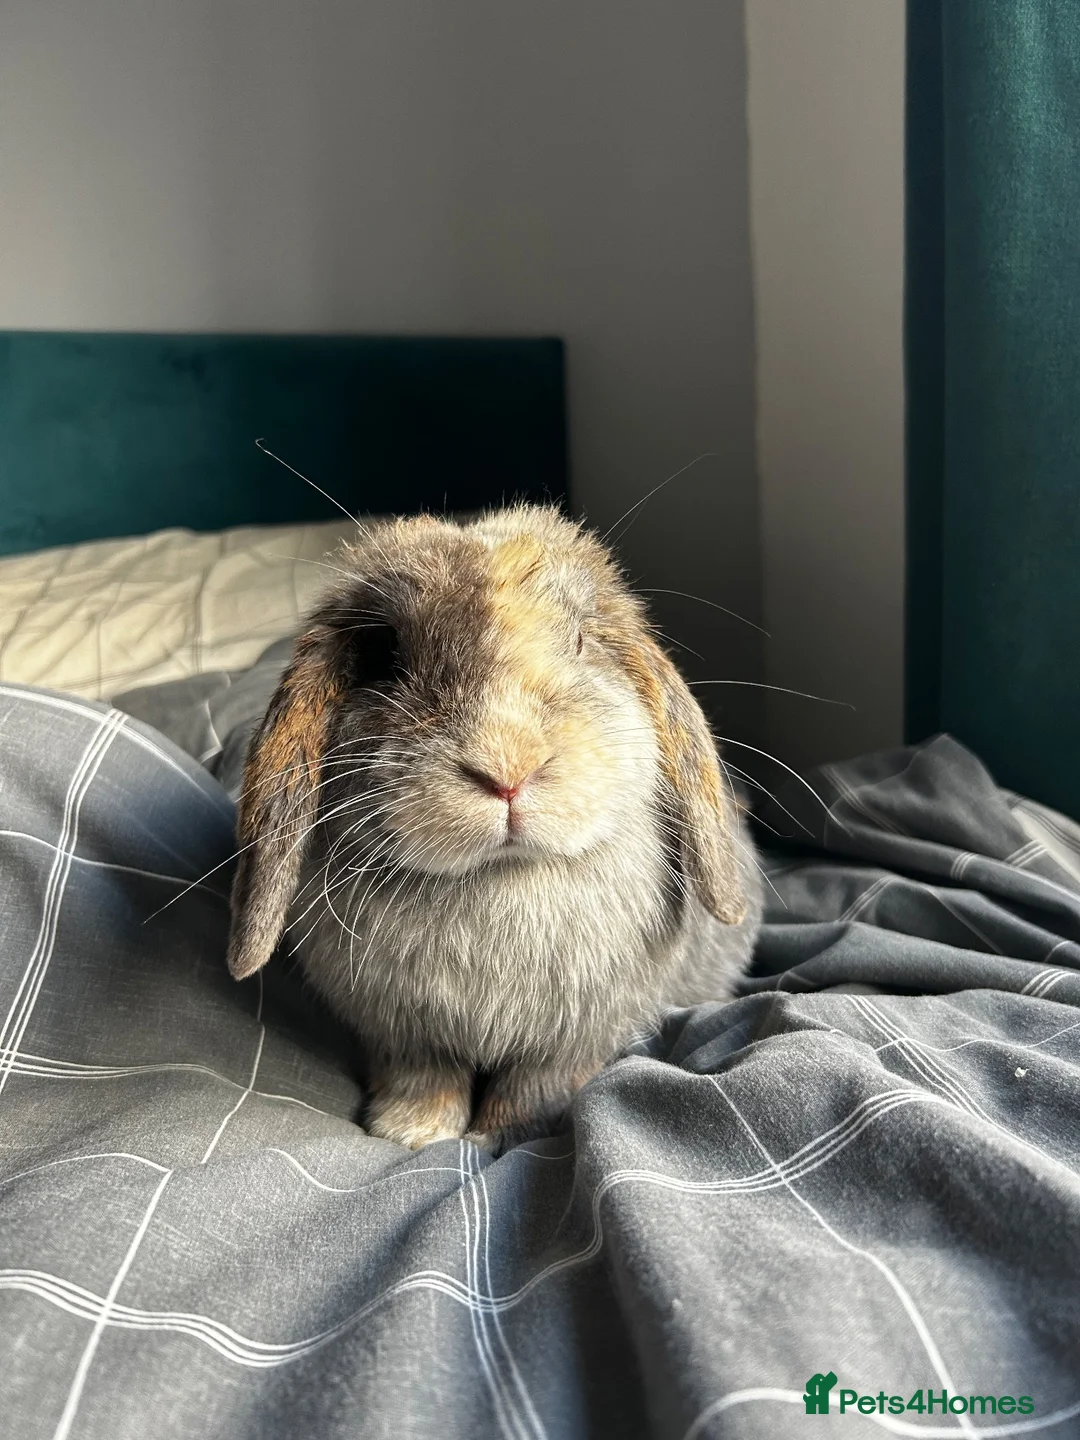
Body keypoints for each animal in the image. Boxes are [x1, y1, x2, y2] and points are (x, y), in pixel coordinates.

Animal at [226, 505, 762, 1153]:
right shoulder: (402, 1034)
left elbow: (532, 1086)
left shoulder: (576, 1038)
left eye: (582, 639)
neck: (497, 877)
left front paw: (508, 1137)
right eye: (384, 654)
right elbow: (423, 1079)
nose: (508, 768)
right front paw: (412, 1134)